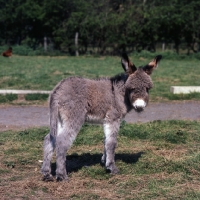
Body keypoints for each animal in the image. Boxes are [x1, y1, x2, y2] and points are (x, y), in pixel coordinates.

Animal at [41, 53, 162, 181]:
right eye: (131, 88)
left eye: (148, 88)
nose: (139, 107)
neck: (119, 93)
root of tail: (57, 90)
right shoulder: (113, 119)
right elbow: (111, 142)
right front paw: (111, 167)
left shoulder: (106, 120)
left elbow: (105, 140)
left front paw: (105, 161)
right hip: (74, 117)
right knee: (62, 141)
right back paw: (61, 175)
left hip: (60, 119)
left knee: (50, 139)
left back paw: (46, 173)